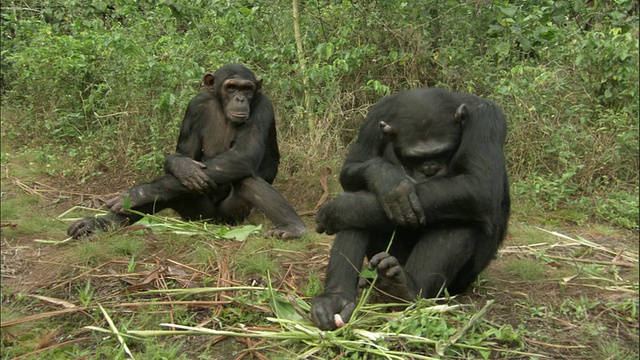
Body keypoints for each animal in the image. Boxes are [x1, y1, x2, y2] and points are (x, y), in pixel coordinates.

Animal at [69, 63, 308, 240]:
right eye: (231, 87)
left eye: (247, 89)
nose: (240, 98)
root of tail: (210, 222)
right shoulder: (195, 106)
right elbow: (185, 154)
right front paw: (180, 166)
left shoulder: (262, 106)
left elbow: (244, 154)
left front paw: (138, 193)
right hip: (194, 213)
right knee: (170, 192)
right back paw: (98, 225)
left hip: (230, 218)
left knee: (247, 180)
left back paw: (292, 227)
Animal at [310, 87, 510, 330]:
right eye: (414, 157)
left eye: (443, 152)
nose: (430, 168)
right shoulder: (373, 118)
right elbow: (353, 167)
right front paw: (387, 179)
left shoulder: (486, 119)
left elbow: (480, 186)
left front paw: (344, 206)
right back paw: (336, 299)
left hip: (461, 280)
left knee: (462, 213)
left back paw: (406, 289)